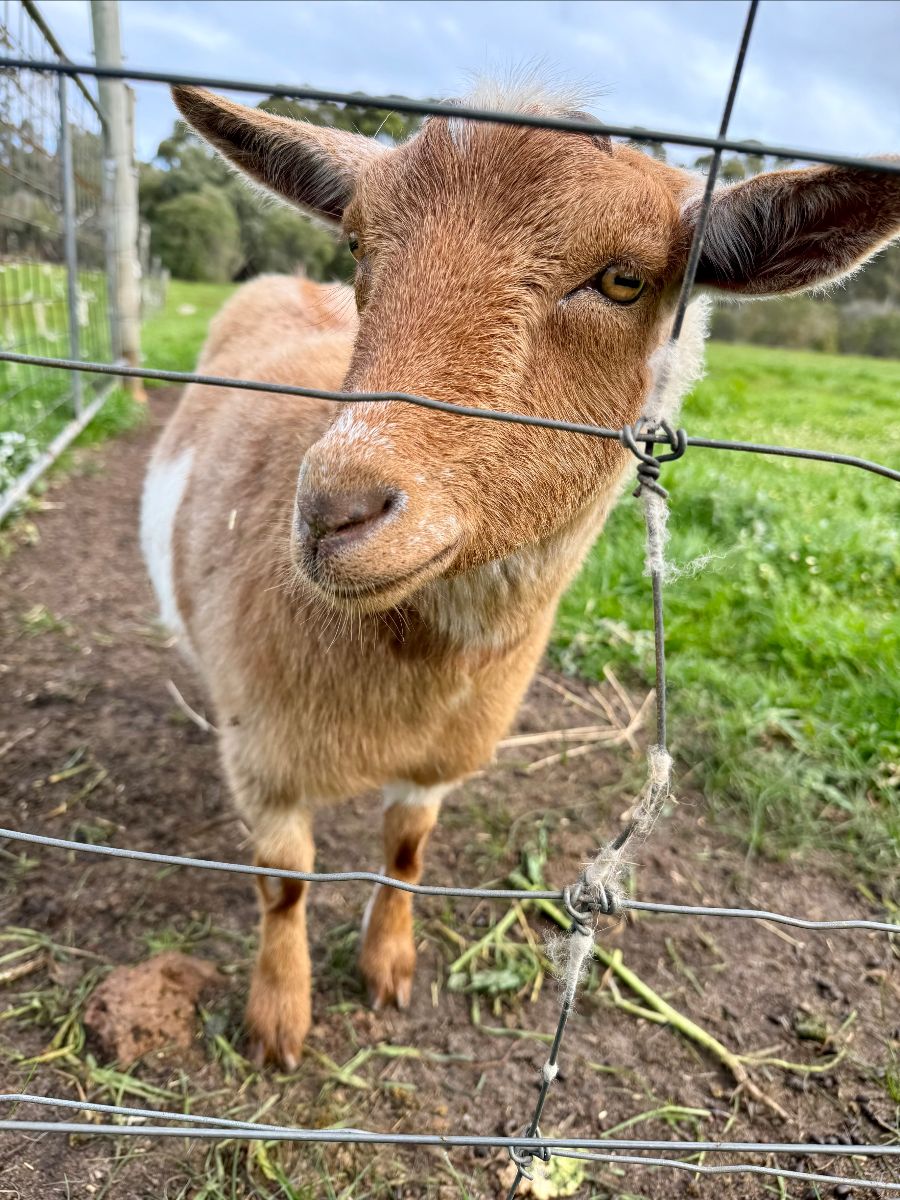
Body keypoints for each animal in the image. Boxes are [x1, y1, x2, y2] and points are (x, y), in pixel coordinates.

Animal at [141, 80, 900, 1067]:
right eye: (357, 244)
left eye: (623, 279)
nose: (335, 512)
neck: (422, 666)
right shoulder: (265, 761)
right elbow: (285, 887)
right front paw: (278, 1020)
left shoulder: (442, 758)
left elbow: (407, 853)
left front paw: (389, 966)